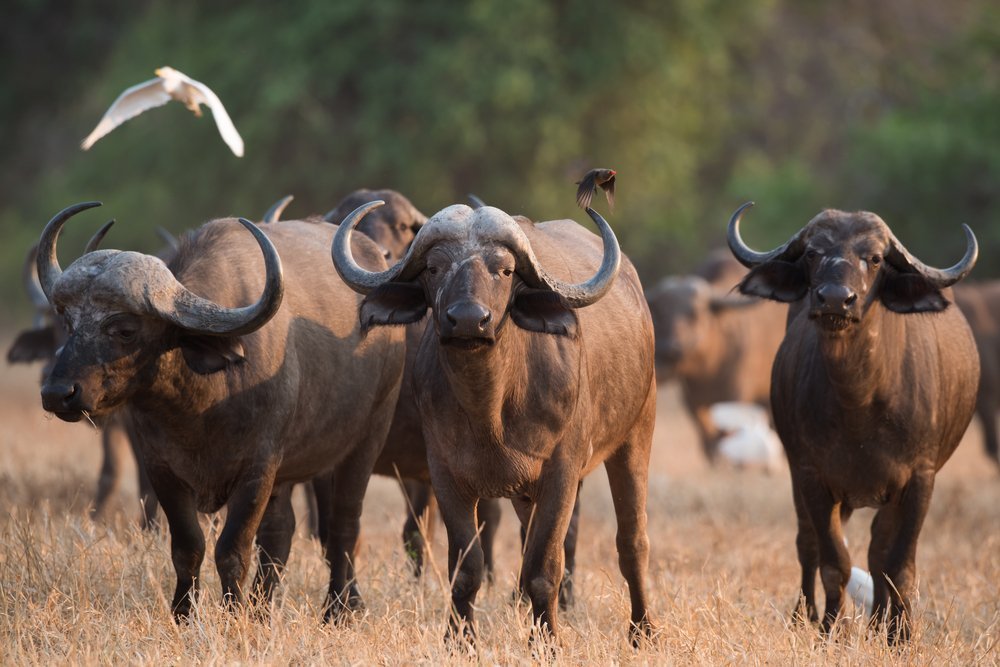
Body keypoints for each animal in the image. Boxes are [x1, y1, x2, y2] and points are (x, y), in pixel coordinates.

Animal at [38, 201, 406, 624]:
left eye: (125, 329)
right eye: (68, 322)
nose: (57, 393)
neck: (198, 408)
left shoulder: (258, 468)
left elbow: (232, 549)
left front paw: (232, 615)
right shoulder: (161, 468)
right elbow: (188, 546)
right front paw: (184, 615)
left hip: (366, 439)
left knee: (343, 525)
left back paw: (339, 609)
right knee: (281, 532)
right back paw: (262, 611)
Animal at [332, 201, 656, 644]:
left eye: (504, 270)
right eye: (434, 268)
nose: (469, 319)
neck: (491, 410)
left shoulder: (562, 472)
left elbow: (544, 566)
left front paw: (546, 642)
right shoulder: (445, 475)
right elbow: (466, 567)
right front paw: (459, 640)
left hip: (636, 435)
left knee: (632, 541)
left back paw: (643, 630)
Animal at [728, 202, 976, 640]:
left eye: (875, 258)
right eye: (813, 253)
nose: (835, 300)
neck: (859, 404)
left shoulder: (920, 478)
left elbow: (899, 565)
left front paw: (900, 636)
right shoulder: (811, 475)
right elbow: (833, 561)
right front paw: (832, 629)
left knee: (878, 552)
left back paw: (880, 623)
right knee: (808, 543)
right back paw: (805, 616)